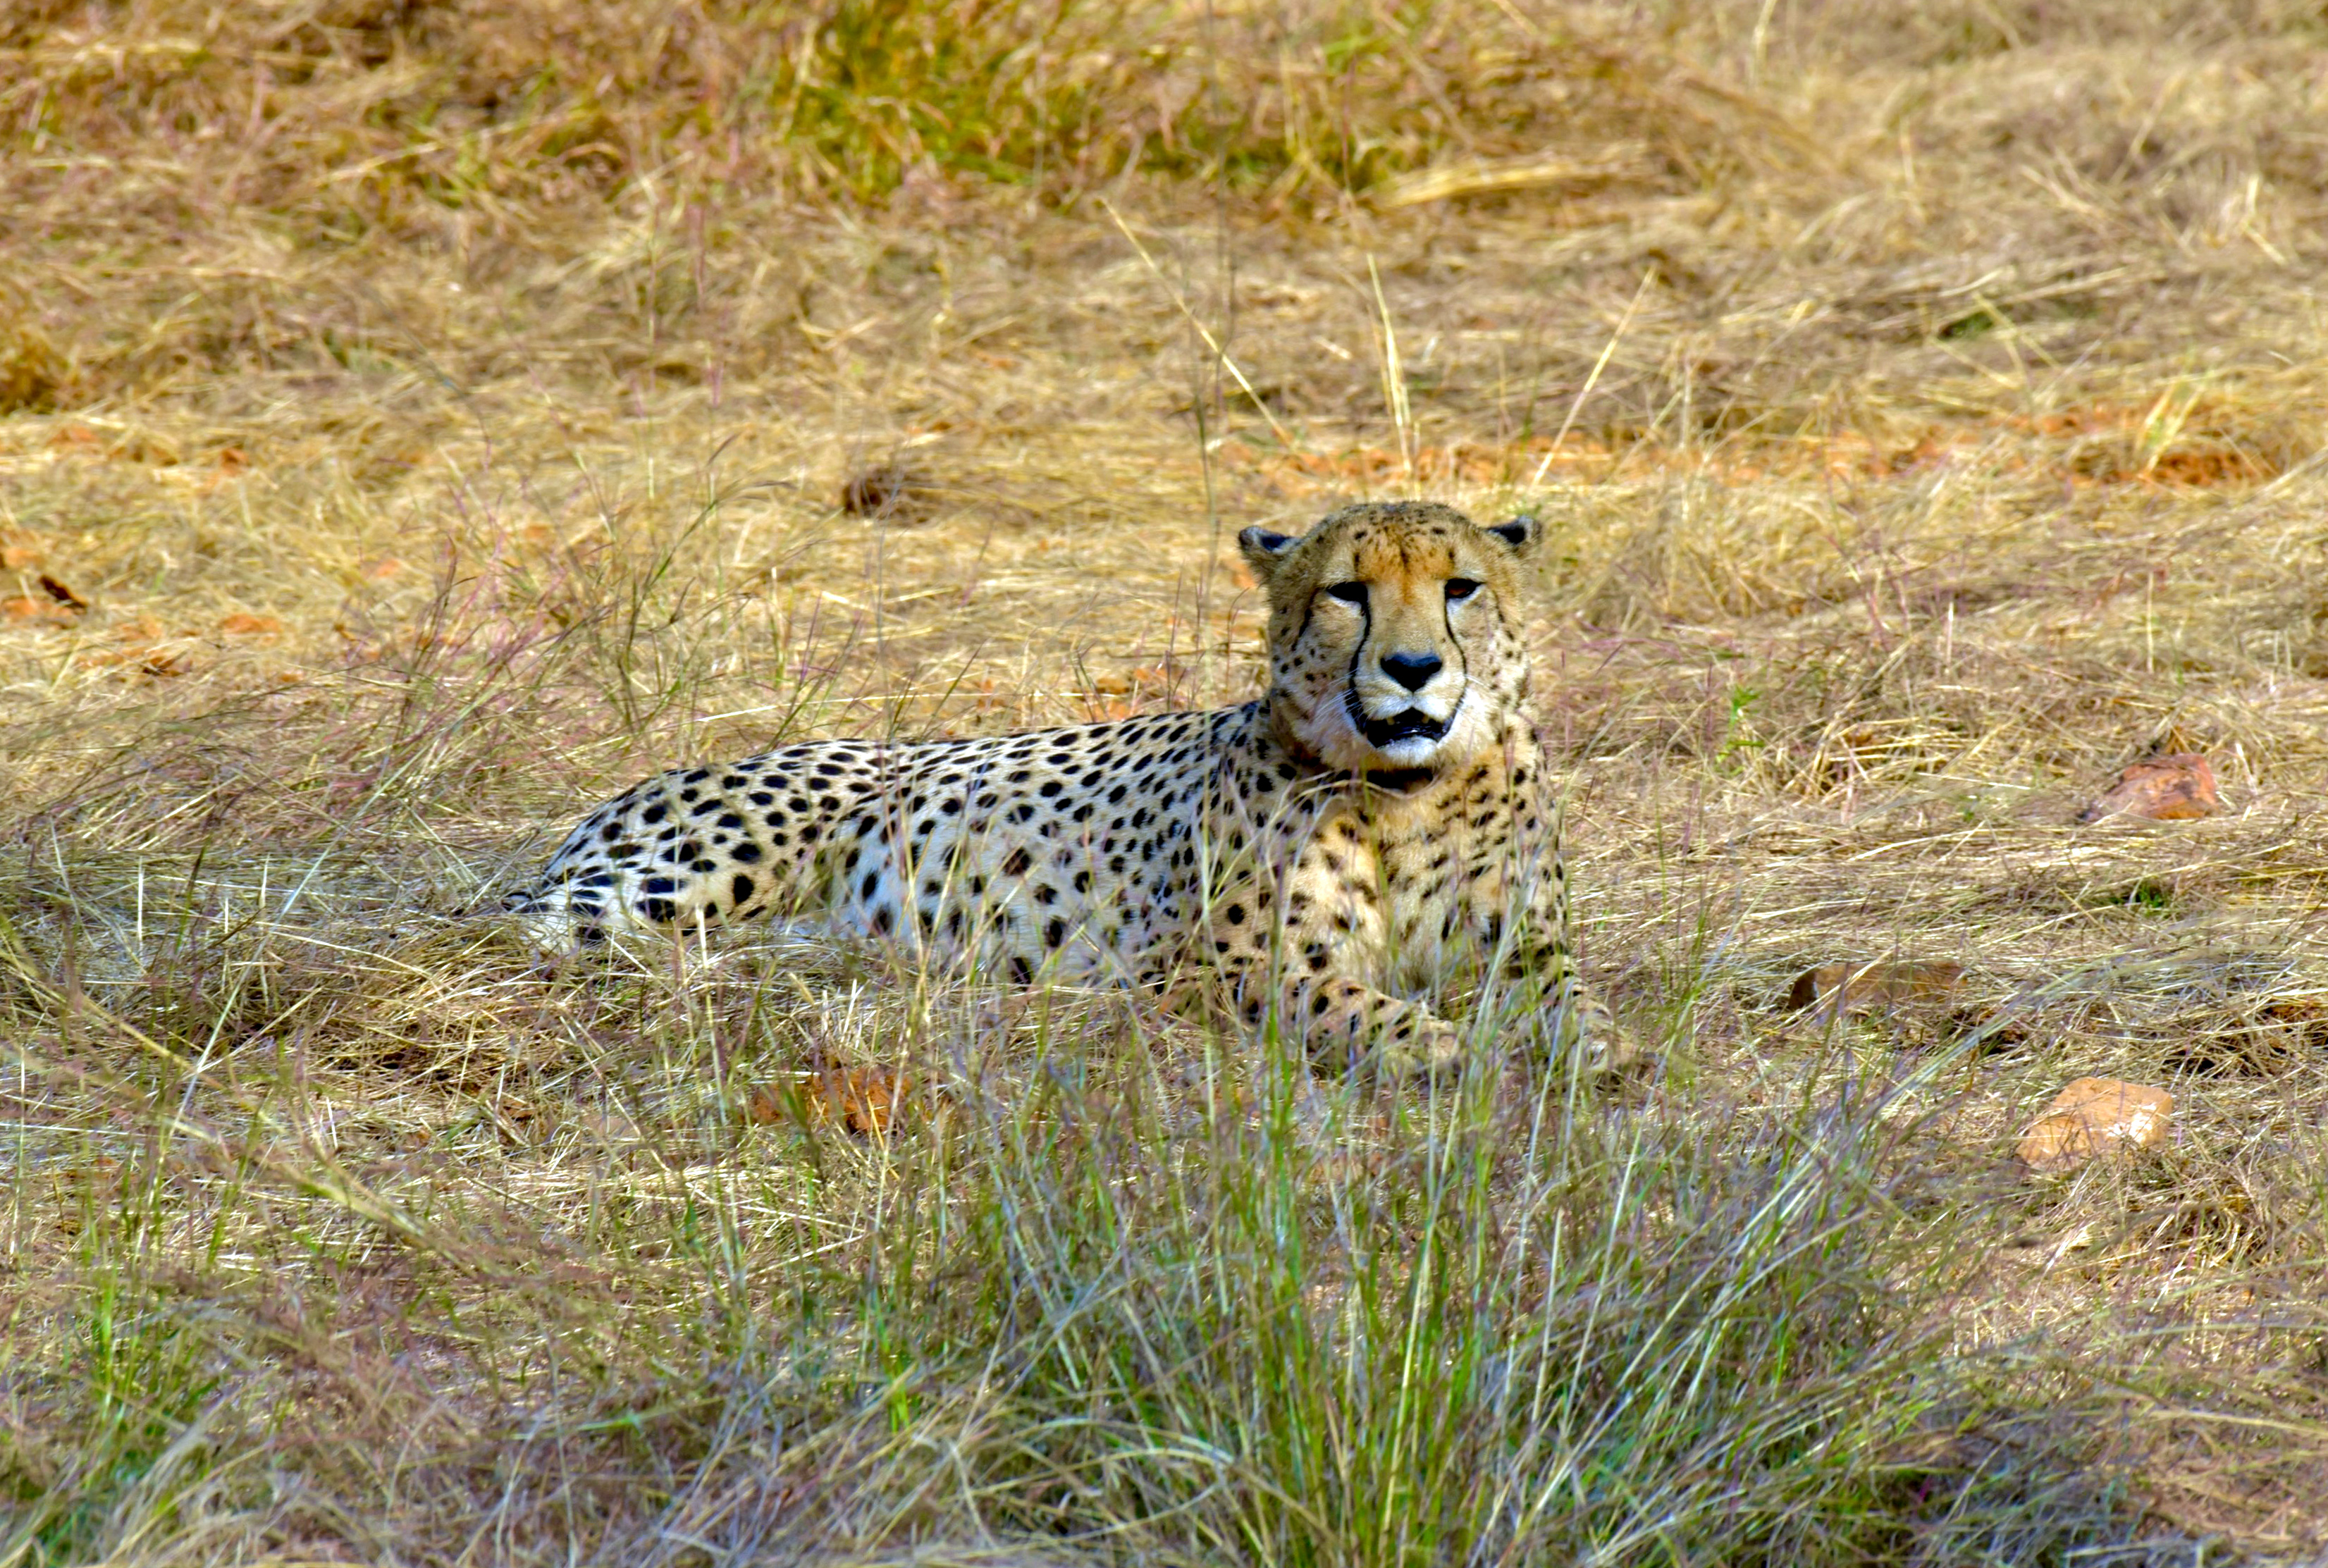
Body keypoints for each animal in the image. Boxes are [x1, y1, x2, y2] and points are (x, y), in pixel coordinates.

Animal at [514, 500, 1620, 1075]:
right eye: (1346, 592)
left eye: (1459, 587)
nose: (1413, 668)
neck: (1406, 790)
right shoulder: (1217, 969)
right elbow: (1358, 1005)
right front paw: (1443, 1047)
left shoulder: (1523, 946)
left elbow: (1574, 1004)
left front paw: (1594, 1047)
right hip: (682, 878)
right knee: (518, 931)